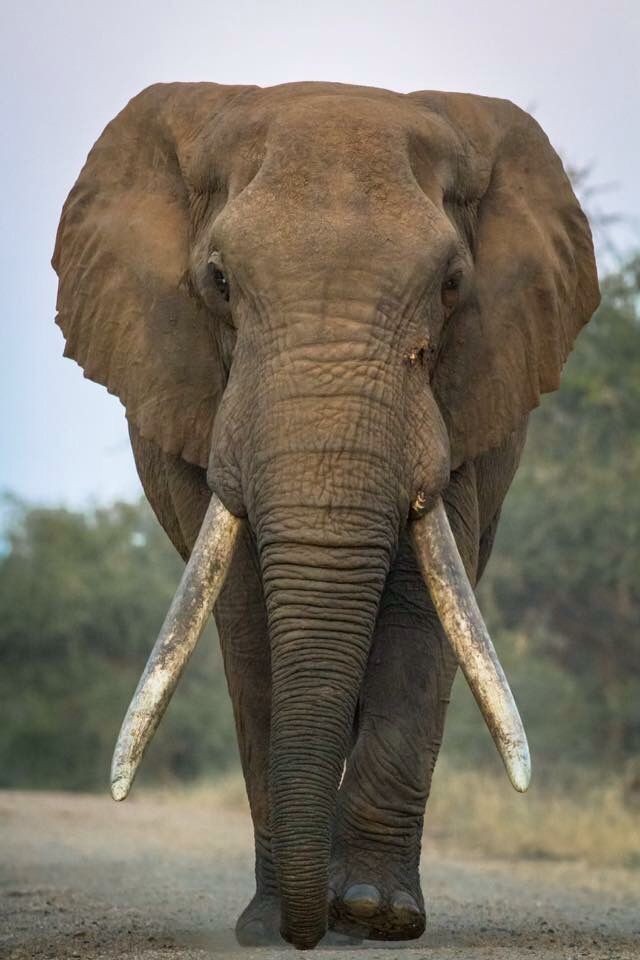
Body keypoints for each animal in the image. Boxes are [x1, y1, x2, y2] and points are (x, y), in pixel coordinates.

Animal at [52, 81, 599, 950]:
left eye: (452, 285)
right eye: (219, 281)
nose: (309, 932)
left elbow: (419, 609)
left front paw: (376, 914)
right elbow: (249, 614)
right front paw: (273, 925)